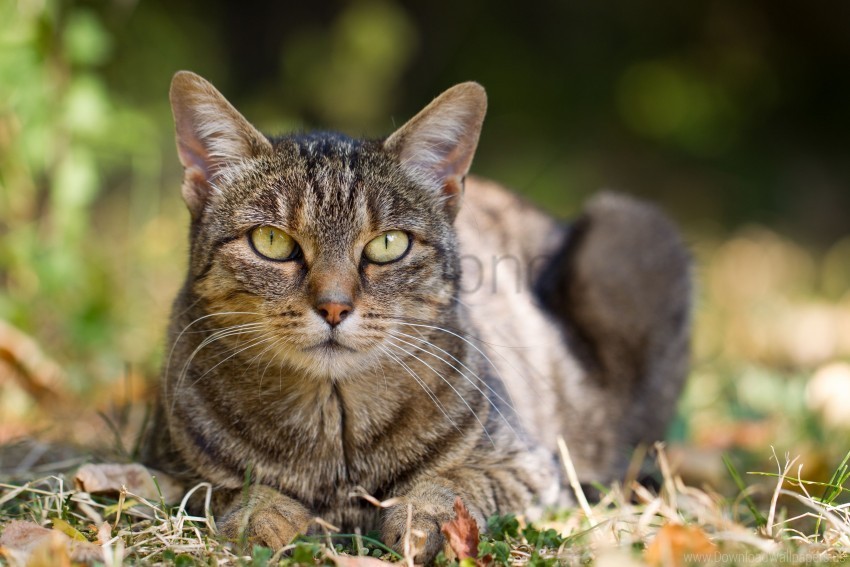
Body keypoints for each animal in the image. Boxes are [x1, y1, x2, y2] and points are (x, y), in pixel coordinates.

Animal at [141, 71, 688, 564]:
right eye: (272, 241)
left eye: (388, 244)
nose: (334, 306)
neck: (335, 434)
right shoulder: (165, 465)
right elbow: (226, 488)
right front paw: (263, 514)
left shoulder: (527, 467)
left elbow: (452, 482)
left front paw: (424, 516)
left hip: (631, 229)